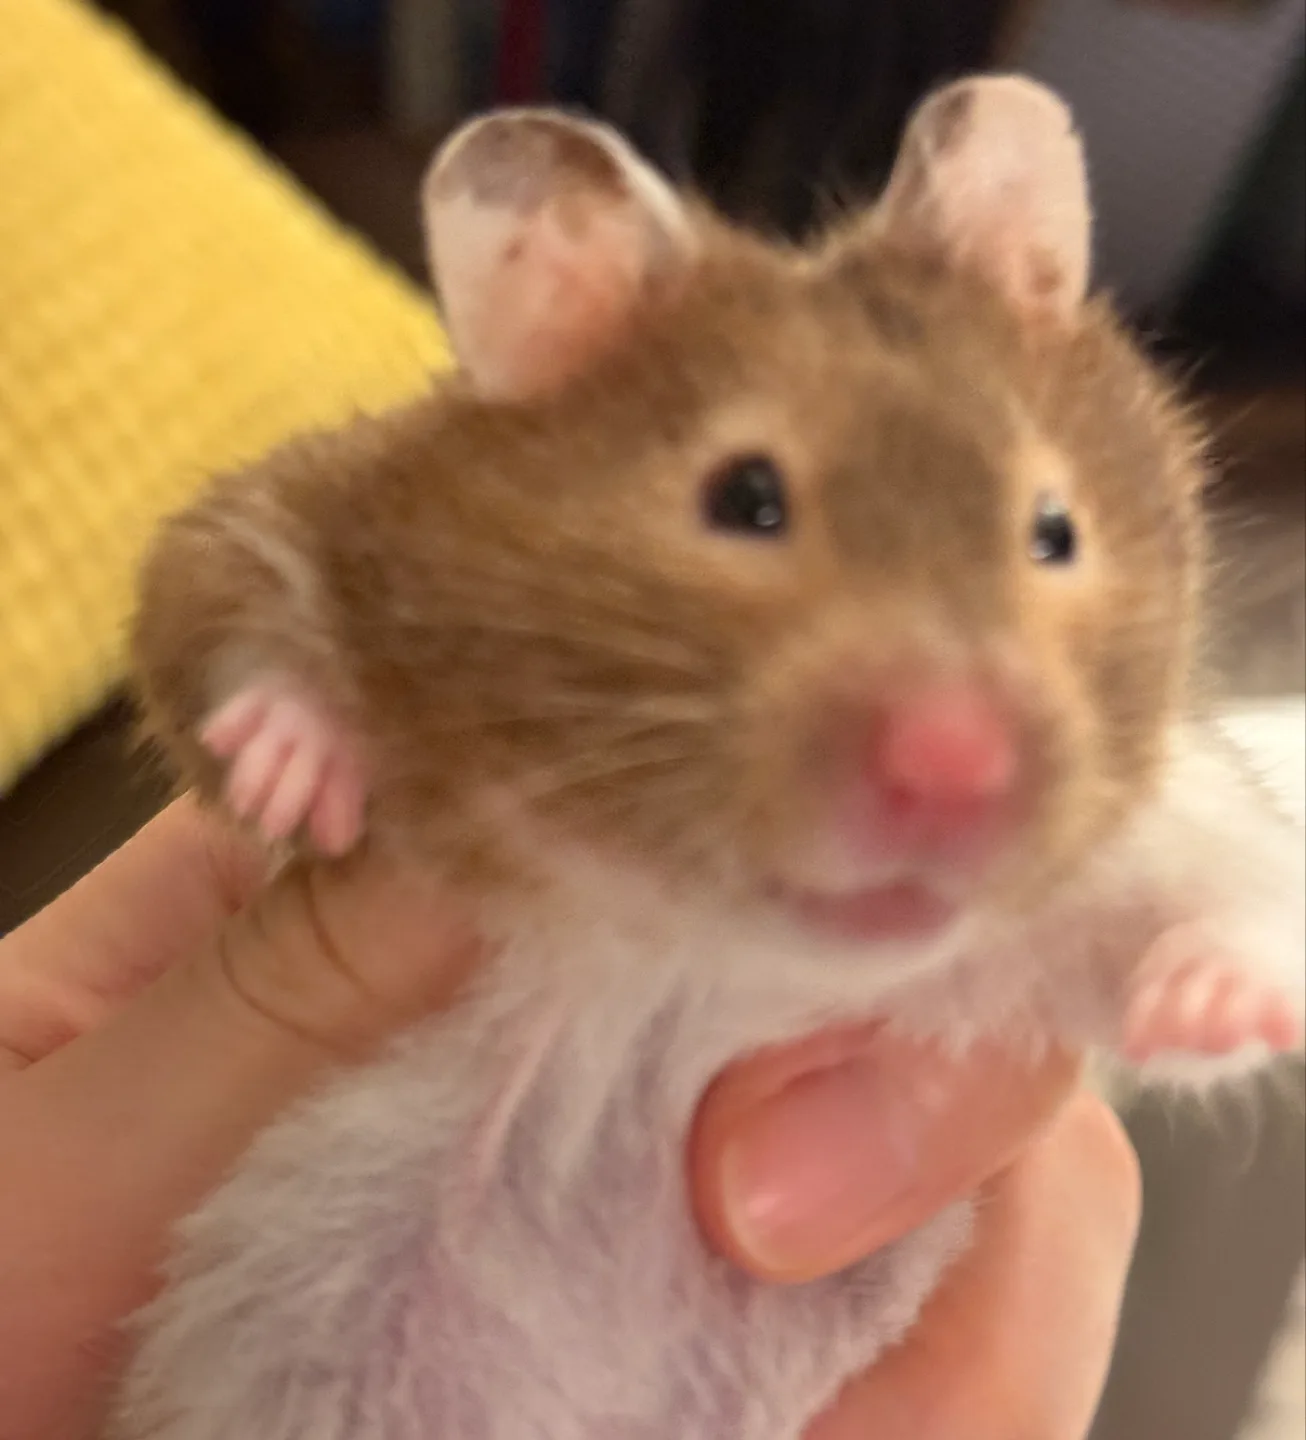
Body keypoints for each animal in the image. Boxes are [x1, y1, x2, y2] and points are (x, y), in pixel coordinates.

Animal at [114, 77, 1304, 1440]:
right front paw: (298, 773)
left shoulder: (1102, 884)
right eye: (746, 499)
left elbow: (1230, 910)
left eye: (1053, 530)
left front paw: (1218, 998)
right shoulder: (307, 504)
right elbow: (228, 600)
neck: (689, 930)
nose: (955, 770)